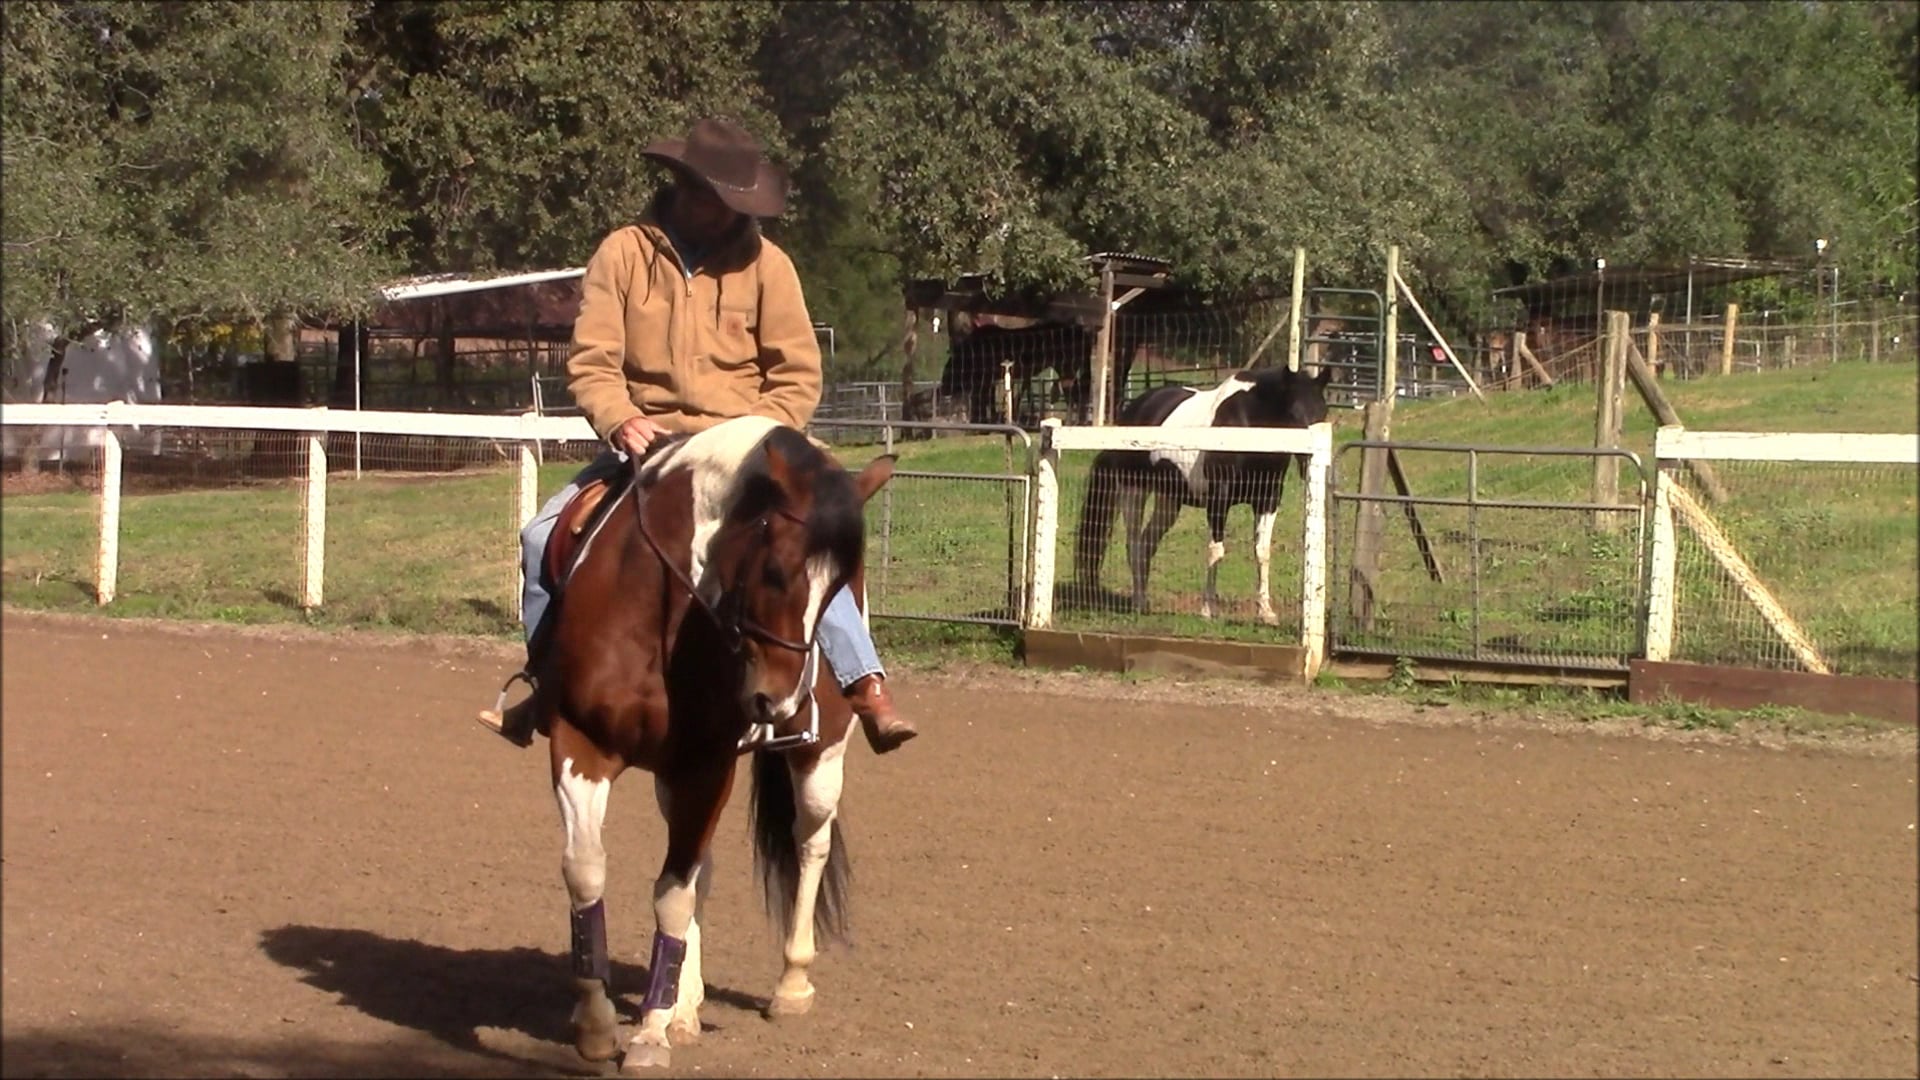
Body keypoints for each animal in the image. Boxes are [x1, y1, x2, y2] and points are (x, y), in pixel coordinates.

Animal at [515, 414, 895, 1071]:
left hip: (818, 758)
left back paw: (790, 983)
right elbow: (587, 872)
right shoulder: (580, 743)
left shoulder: (707, 765)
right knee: (704, 872)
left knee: (809, 844)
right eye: (776, 570)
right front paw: (597, 1021)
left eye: (838, 591)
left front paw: (648, 1034)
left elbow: (672, 895)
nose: (780, 702)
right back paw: (685, 1003)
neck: (657, 619)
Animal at [1071, 366, 1331, 625]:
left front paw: (1265, 612)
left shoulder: (1267, 500)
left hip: (1169, 500)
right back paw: (1138, 602)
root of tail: (1131, 413)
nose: (1310, 465)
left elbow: (1262, 552)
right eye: (1294, 415)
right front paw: (1208, 609)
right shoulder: (1218, 501)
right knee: (1133, 544)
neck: (1246, 427)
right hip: (1133, 491)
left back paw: (1143, 600)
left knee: (1146, 544)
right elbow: (1216, 551)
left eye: (1323, 412)